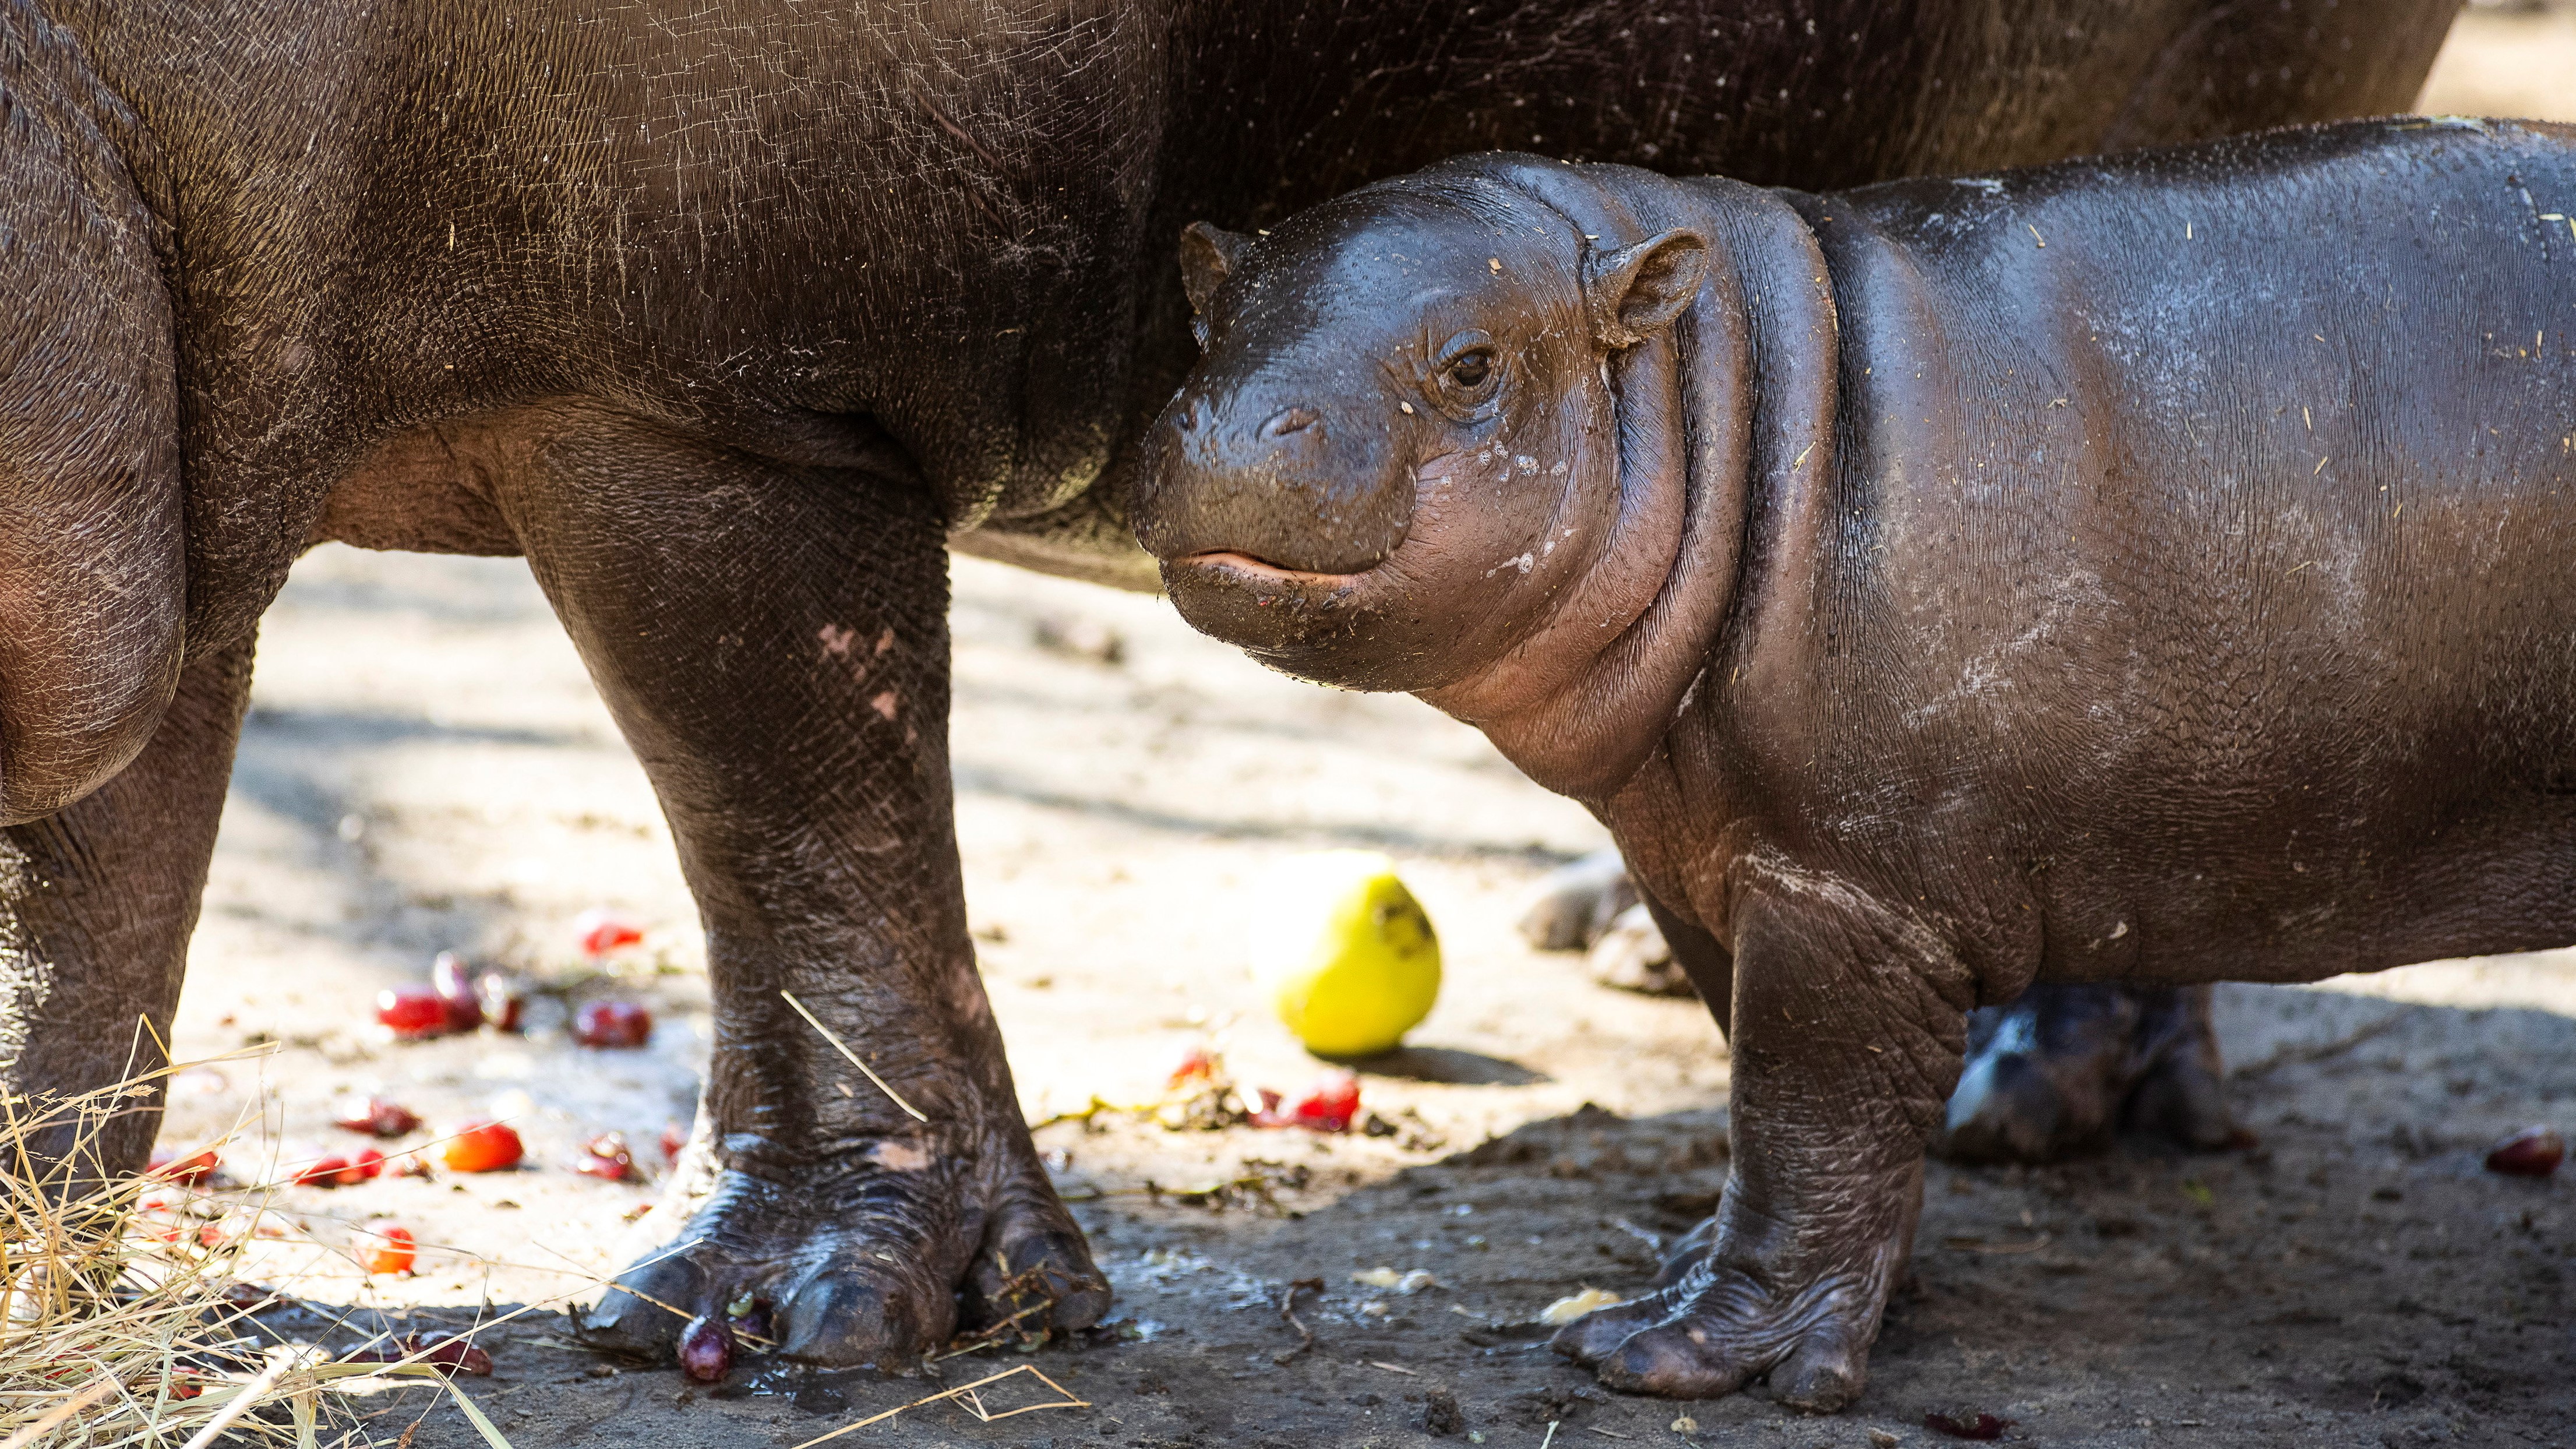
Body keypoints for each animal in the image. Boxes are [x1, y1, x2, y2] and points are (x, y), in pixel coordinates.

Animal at [0, 0, 2452, 1372]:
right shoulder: (179, 404)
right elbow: (94, 893)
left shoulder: (716, 389)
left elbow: (792, 805)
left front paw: (791, 1323)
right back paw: (1647, 952)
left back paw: (2031, 1104)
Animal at [1138, 118, 2576, 1402]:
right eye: (1206, 318)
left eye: (1471, 365)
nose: (1225, 429)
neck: (1729, 405)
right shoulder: (1705, 854)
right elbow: (1793, 1107)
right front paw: (1703, 1275)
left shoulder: (1853, 887)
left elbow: (1800, 1108)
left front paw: (1675, 1354)